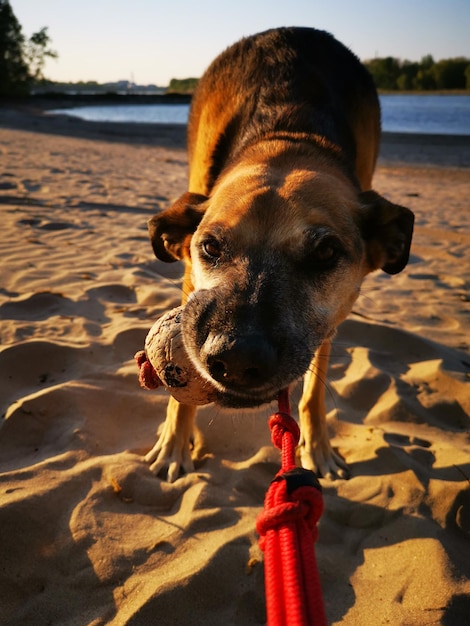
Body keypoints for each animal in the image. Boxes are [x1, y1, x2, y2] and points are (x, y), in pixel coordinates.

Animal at [145, 26, 414, 480]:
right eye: (210, 246)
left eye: (325, 252)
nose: (236, 359)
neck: (288, 139)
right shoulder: (188, 279)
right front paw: (173, 442)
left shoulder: (329, 323)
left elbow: (313, 393)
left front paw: (318, 448)